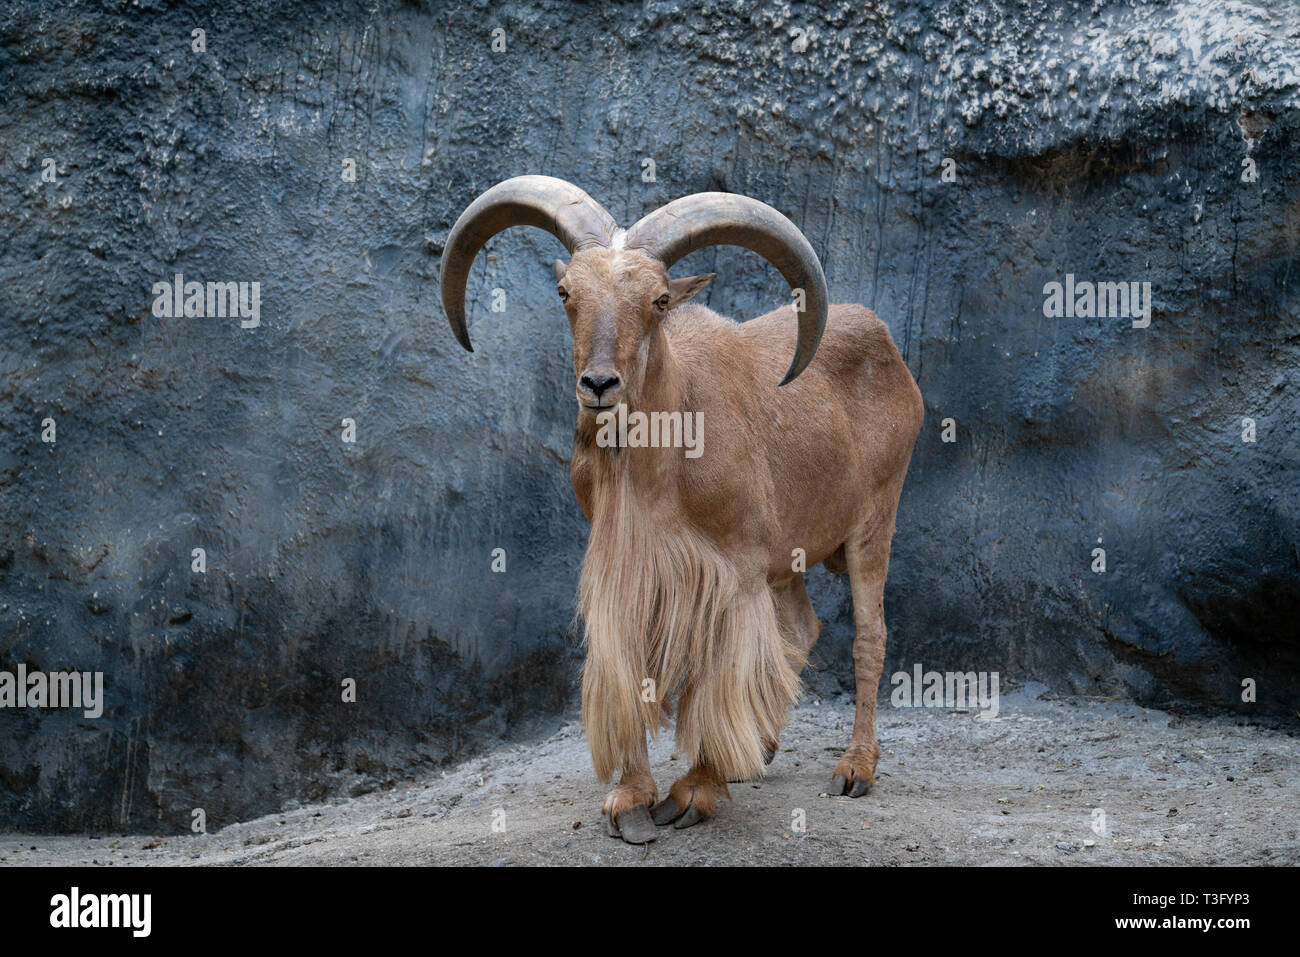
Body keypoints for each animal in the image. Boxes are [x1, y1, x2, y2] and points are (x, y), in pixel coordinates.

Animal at [441, 175, 920, 842]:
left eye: (660, 299)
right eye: (567, 293)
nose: (599, 385)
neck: (657, 467)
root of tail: (888, 347)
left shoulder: (735, 573)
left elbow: (721, 673)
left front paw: (696, 791)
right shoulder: (630, 571)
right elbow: (633, 668)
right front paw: (632, 800)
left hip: (874, 522)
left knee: (868, 638)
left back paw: (855, 768)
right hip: (791, 557)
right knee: (803, 628)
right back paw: (759, 749)